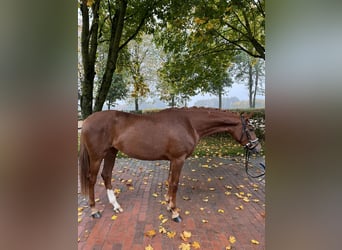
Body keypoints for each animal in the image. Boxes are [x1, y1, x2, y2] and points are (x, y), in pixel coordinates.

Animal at [79, 106, 260, 222]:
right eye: (250, 129)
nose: (257, 148)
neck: (189, 123)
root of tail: (87, 121)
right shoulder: (179, 159)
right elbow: (174, 183)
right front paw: (174, 212)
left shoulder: (173, 160)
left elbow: (169, 182)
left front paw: (168, 204)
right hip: (97, 156)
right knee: (92, 179)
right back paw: (94, 210)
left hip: (111, 152)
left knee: (106, 175)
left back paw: (115, 205)